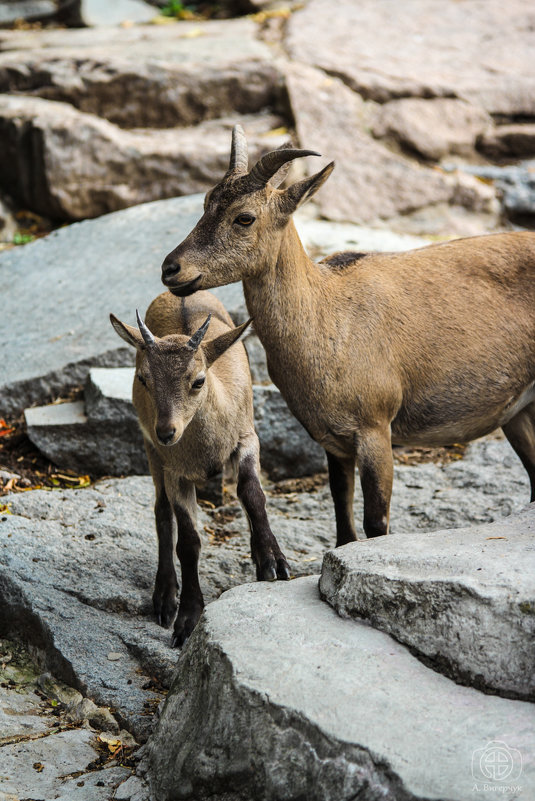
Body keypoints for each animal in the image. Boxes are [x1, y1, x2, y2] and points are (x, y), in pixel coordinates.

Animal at [161, 126, 535, 544]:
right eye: (206, 201)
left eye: (244, 217)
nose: (171, 268)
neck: (326, 318)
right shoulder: (332, 441)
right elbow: (343, 519)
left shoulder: (375, 428)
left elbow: (375, 523)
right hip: (518, 409)